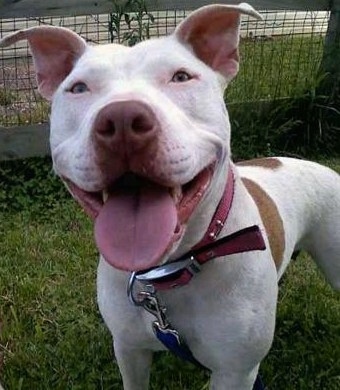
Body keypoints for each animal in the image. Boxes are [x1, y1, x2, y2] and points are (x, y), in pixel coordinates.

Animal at [1, 3, 338, 390]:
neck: (170, 271)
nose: (122, 120)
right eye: (78, 88)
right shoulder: (129, 349)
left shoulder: (235, 372)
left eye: (181, 77)